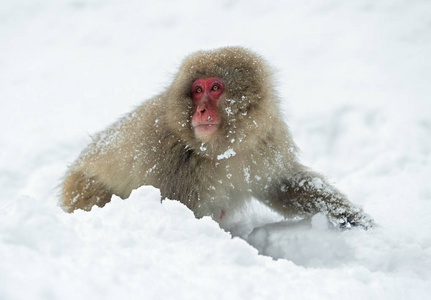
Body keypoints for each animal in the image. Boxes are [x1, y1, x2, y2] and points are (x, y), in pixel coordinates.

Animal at [60, 47, 374, 229]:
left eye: (215, 87)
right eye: (197, 90)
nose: (200, 110)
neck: (223, 148)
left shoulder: (263, 143)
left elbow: (282, 185)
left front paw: (352, 219)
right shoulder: (171, 160)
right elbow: (179, 211)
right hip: (82, 188)